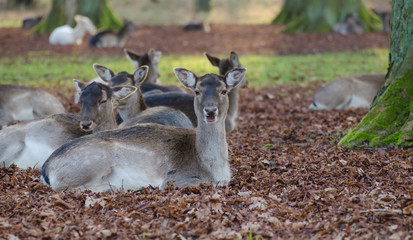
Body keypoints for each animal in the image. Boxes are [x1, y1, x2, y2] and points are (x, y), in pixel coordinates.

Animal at [40, 66, 246, 192]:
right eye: (197, 91)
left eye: (223, 91)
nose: (210, 110)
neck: (213, 167)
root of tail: (45, 169)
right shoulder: (176, 178)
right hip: (89, 163)